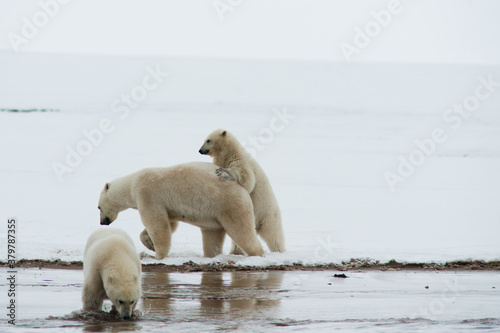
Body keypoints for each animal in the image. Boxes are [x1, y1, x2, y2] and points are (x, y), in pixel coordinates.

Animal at [95, 160, 264, 256]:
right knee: (212, 235)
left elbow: (157, 224)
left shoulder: (147, 194)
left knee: (241, 229)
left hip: (228, 204)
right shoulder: (166, 207)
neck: (131, 185)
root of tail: (242, 188)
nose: (103, 222)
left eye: (98, 207)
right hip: (215, 214)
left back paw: (256, 253)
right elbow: (170, 224)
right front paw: (149, 244)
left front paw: (157, 255)